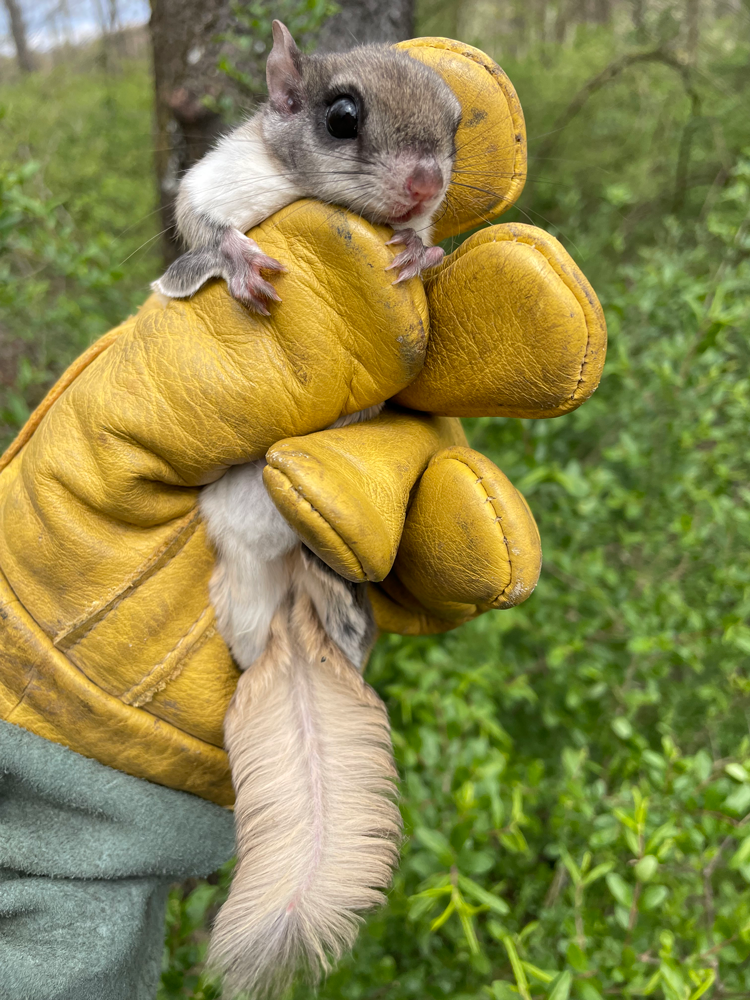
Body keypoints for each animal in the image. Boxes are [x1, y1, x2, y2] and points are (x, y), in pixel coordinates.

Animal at [157, 21, 464, 992]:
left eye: (456, 127)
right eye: (342, 117)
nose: (425, 187)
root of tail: (291, 600)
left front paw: (419, 251)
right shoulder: (213, 178)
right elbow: (204, 224)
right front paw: (237, 261)